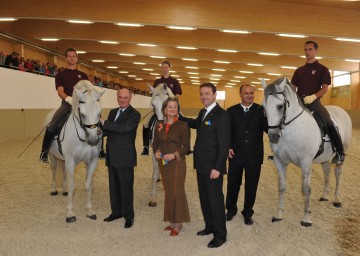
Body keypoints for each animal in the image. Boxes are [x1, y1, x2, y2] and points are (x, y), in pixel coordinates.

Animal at [47, 80, 105, 222]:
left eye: (99, 112)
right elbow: (72, 186)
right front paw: (70, 213)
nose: (93, 140)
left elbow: (88, 185)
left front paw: (90, 210)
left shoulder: (92, 161)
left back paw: (63, 189)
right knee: (54, 168)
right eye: (82, 114)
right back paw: (53, 189)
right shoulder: (70, 161)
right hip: (52, 155)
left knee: (62, 170)